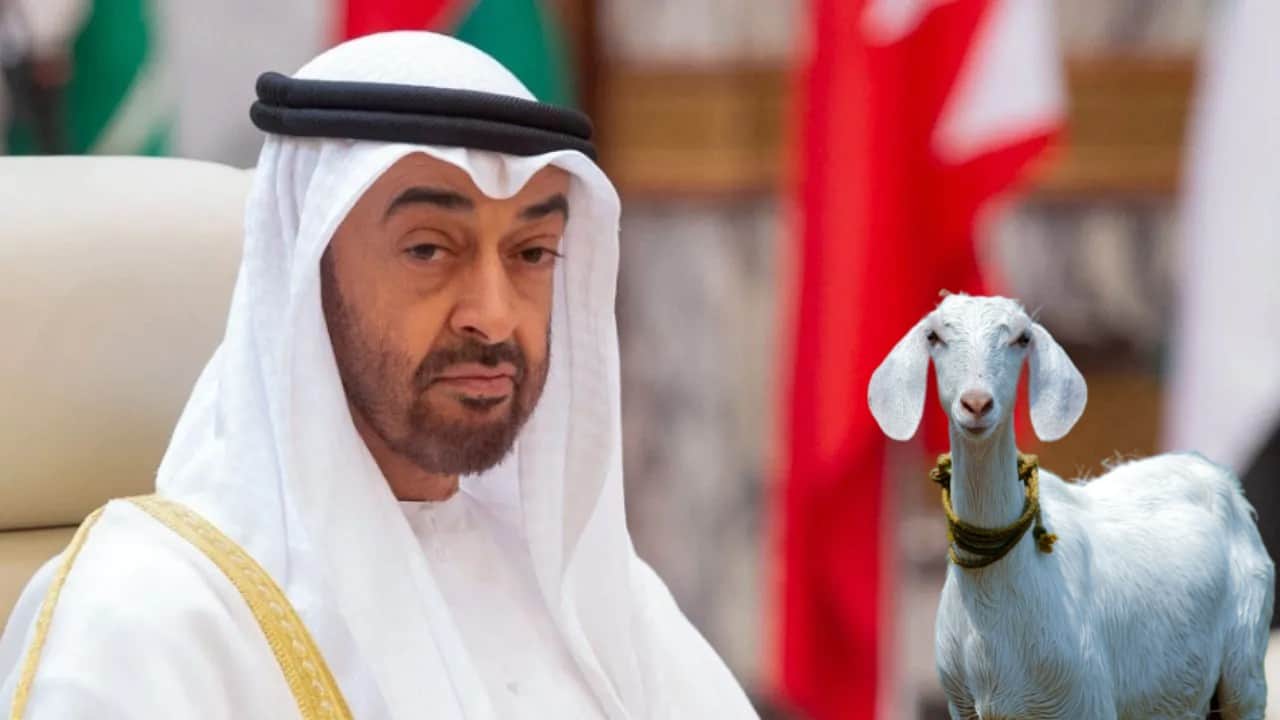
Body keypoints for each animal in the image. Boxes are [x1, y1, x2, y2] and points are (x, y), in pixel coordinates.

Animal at [867, 294, 1274, 720]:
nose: (977, 404)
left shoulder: (1085, 699)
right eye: (934, 335)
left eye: (1022, 338)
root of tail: (1217, 475)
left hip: (1246, 662)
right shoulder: (962, 705)